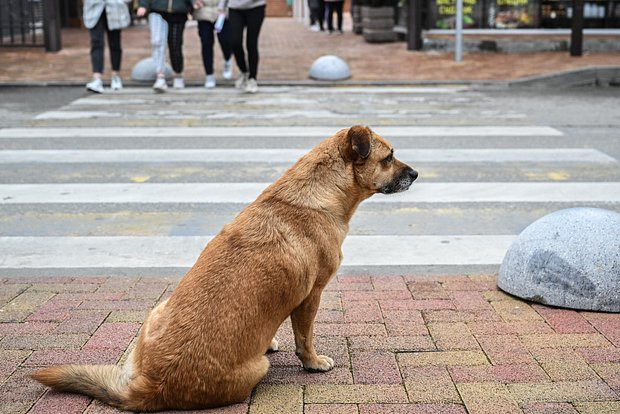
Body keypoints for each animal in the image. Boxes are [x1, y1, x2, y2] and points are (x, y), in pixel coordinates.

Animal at [31, 125, 418, 410]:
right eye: (389, 157)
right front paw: (312, 362)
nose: (416, 174)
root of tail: (147, 387)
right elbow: (304, 339)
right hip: (257, 368)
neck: (318, 191)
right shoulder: (312, 296)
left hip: (157, 311)